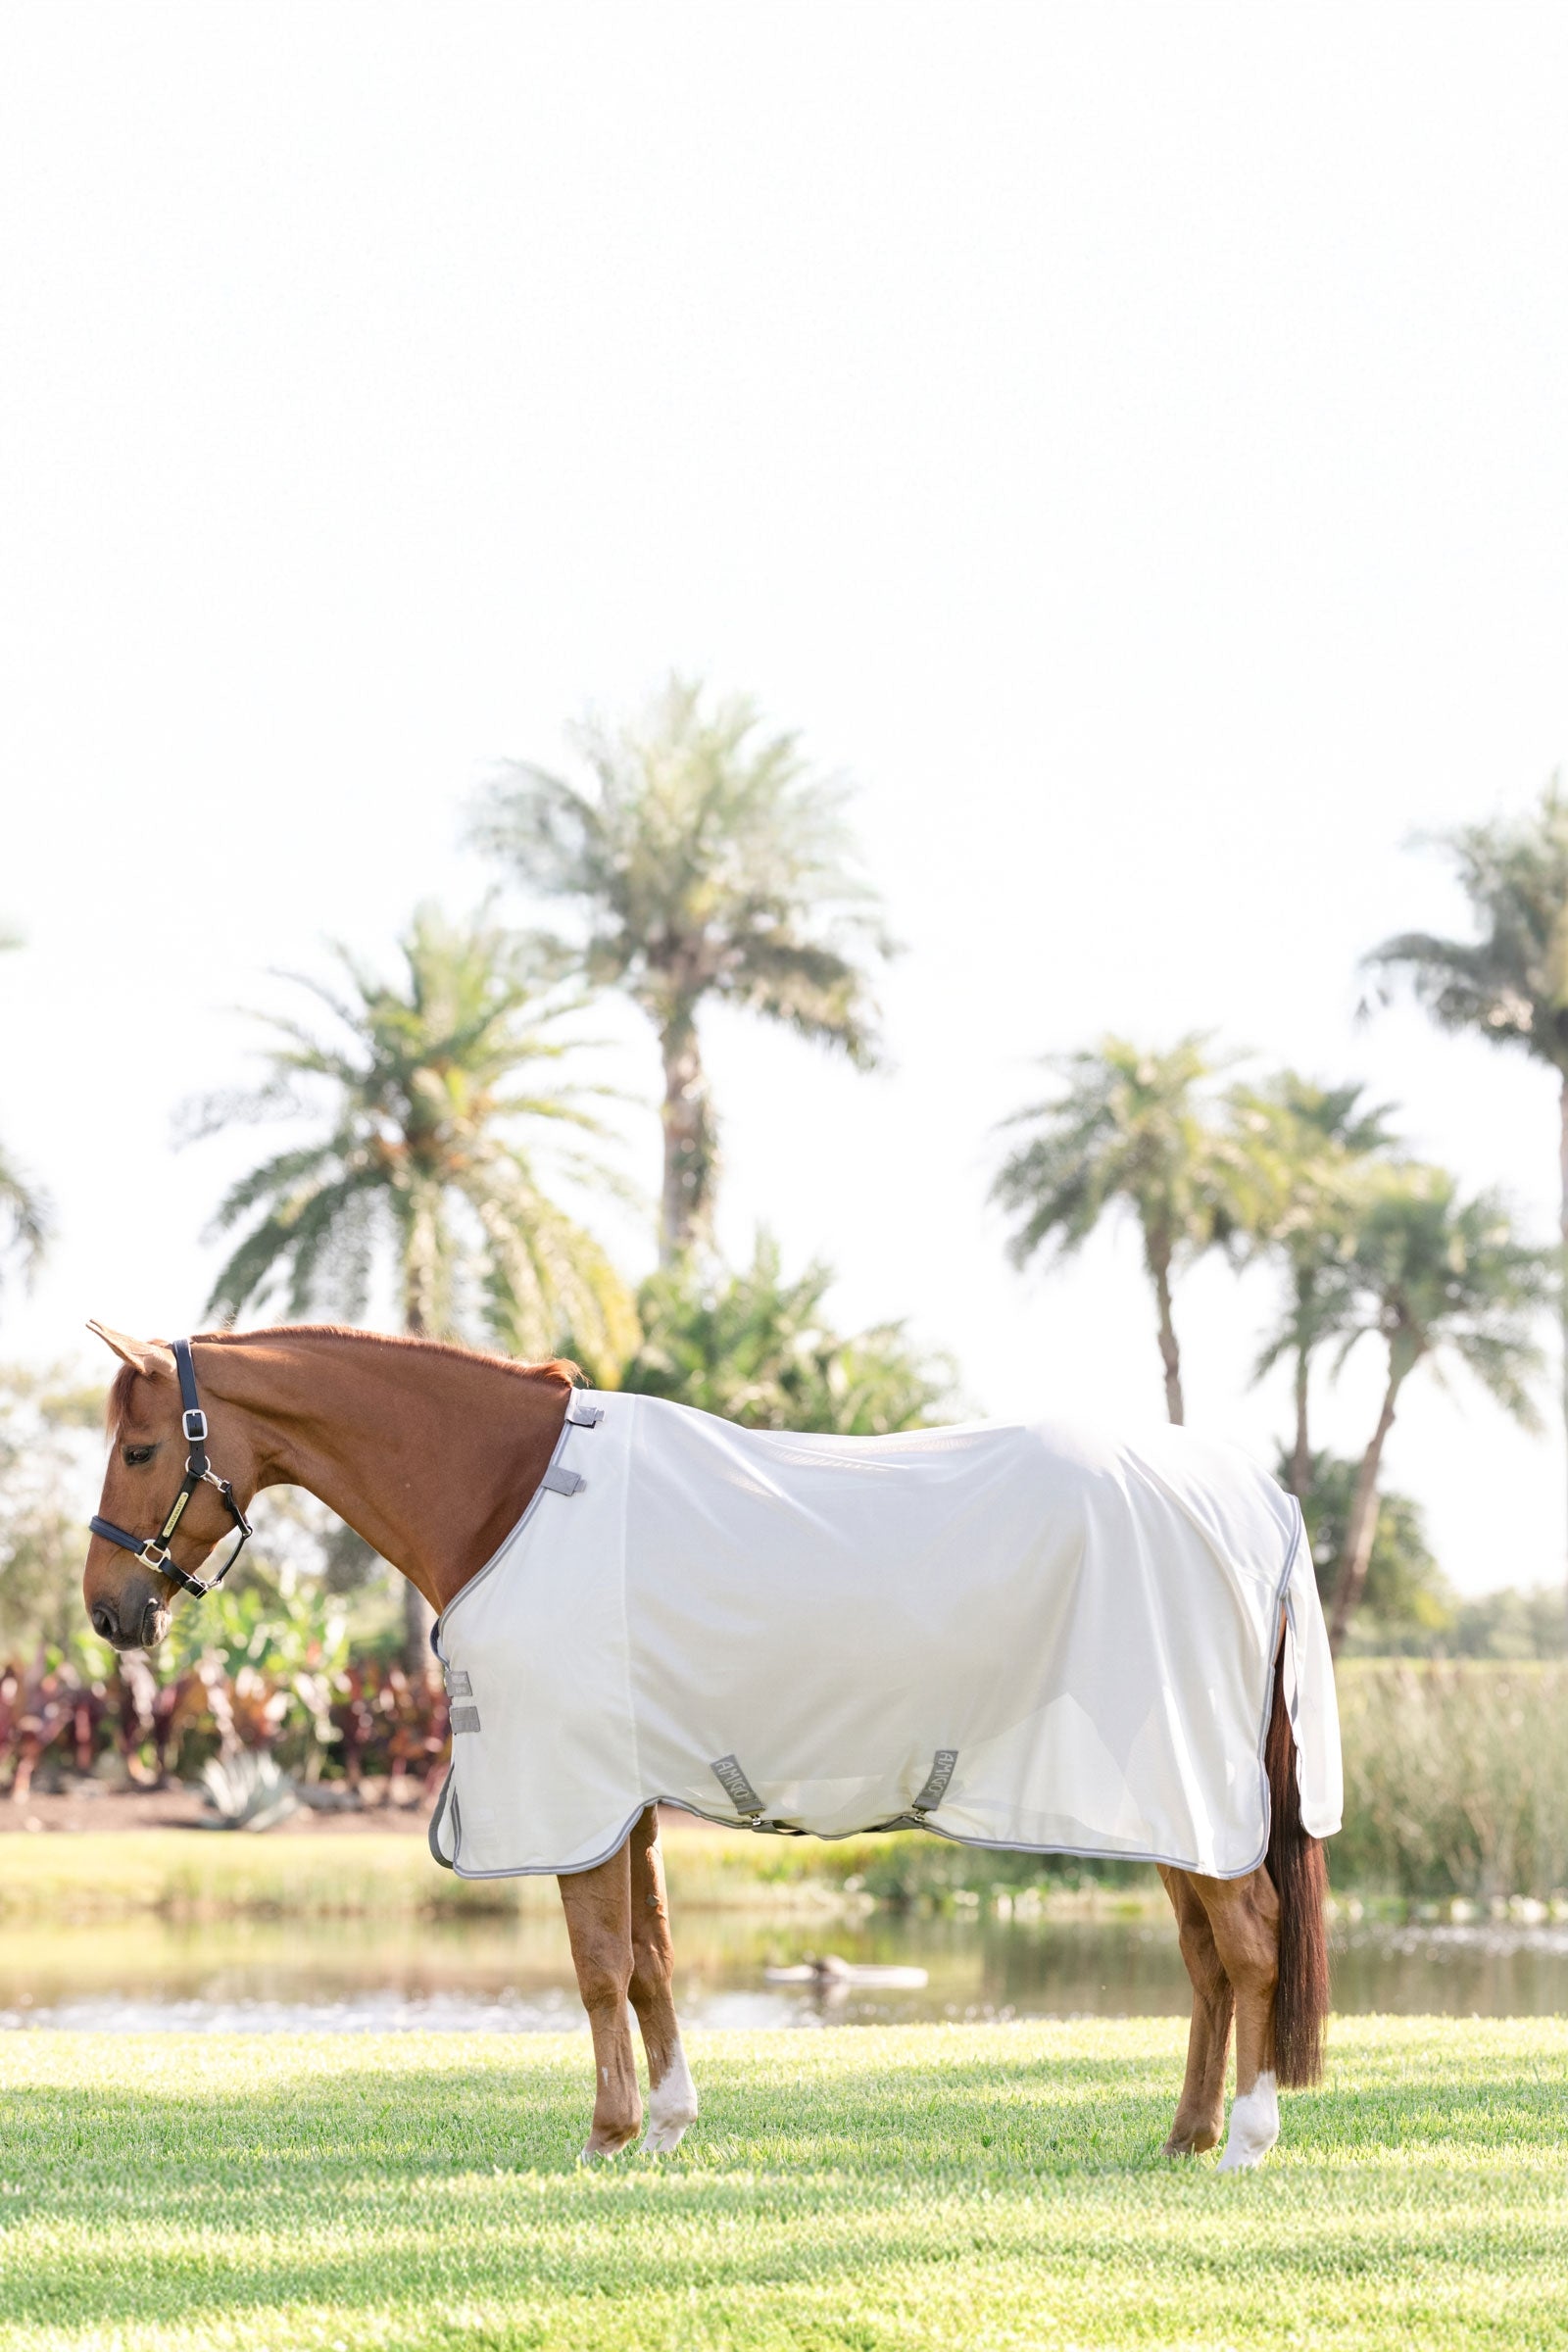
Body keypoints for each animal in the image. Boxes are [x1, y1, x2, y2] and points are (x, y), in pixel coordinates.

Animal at [82, 1320, 1331, 2171]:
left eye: (140, 1450)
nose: (109, 1613)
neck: (512, 1496)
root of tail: (1258, 1505)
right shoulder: (626, 1800)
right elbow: (651, 1960)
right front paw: (668, 2128)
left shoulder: (575, 1792)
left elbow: (595, 1966)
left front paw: (603, 2135)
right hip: (1173, 1810)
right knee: (1207, 1960)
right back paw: (1183, 2137)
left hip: (1184, 1790)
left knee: (1250, 1945)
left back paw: (1245, 2140)